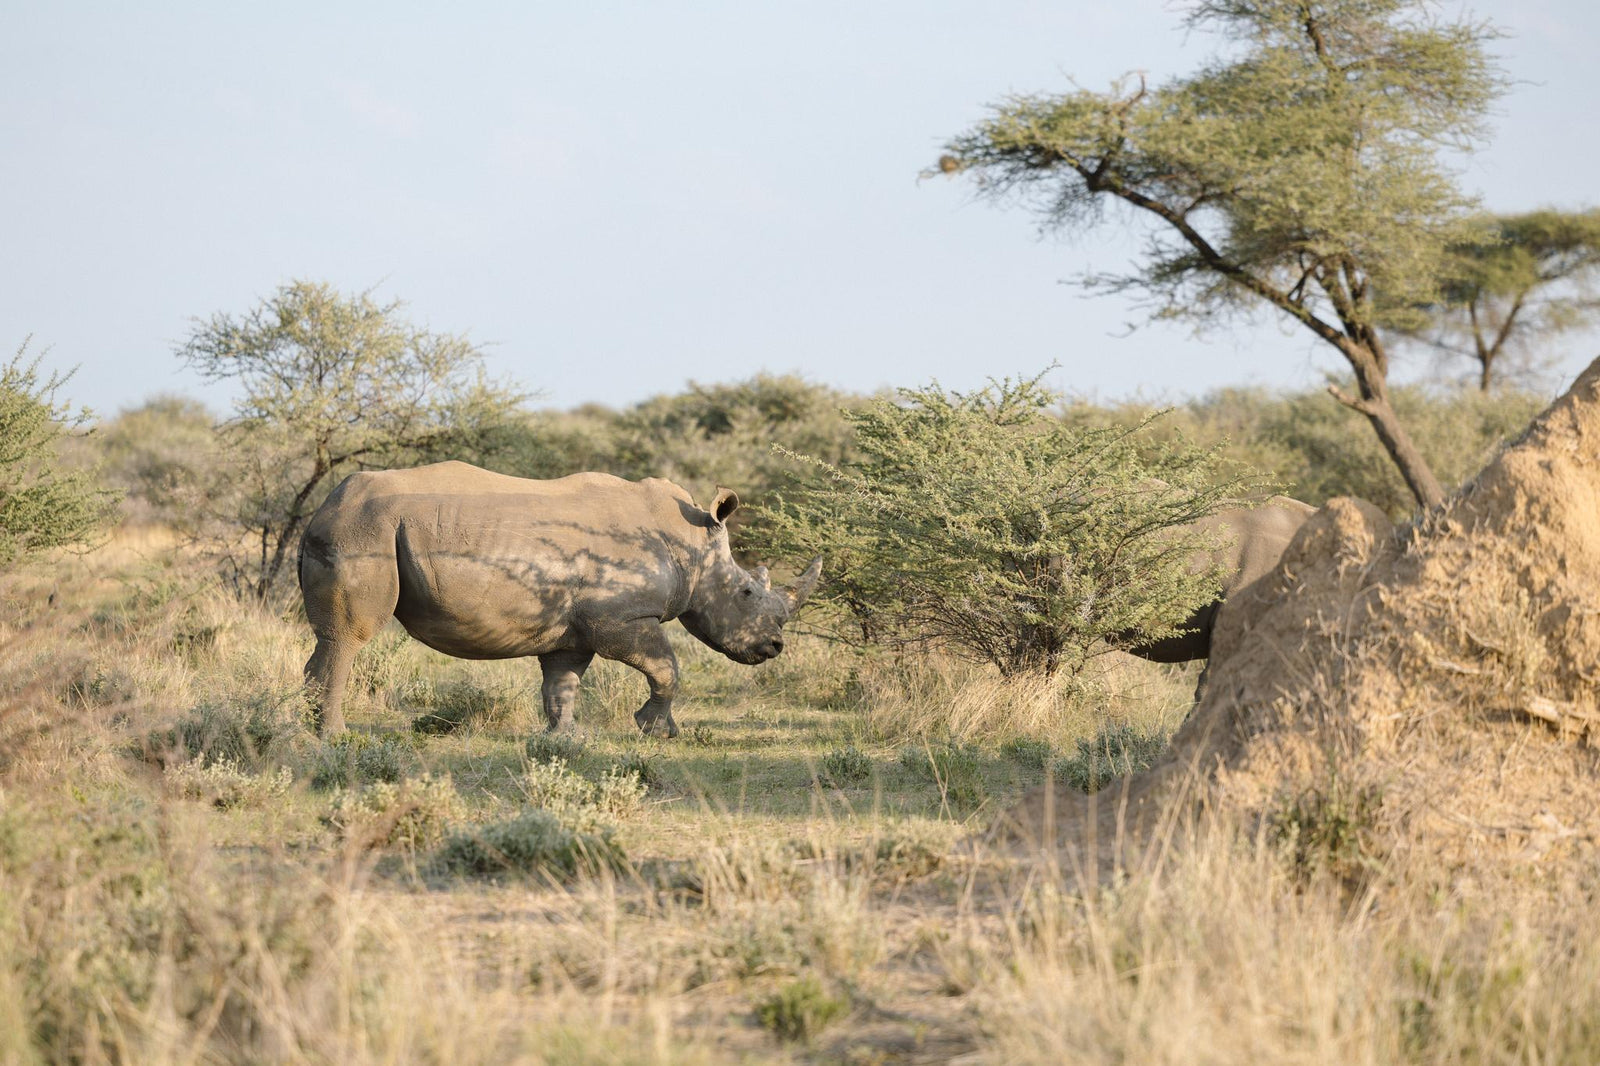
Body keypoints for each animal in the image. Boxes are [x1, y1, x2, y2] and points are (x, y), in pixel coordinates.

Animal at [297, 461, 822, 738]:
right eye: (746, 593)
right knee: (349, 638)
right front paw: (655, 731)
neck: (690, 546)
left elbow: (562, 683)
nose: (775, 648)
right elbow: (667, 667)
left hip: (355, 527)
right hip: (364, 529)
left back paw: (310, 729)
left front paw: (566, 738)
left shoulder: (573, 630)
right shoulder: (620, 619)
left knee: (329, 640)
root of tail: (322, 509)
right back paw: (334, 736)